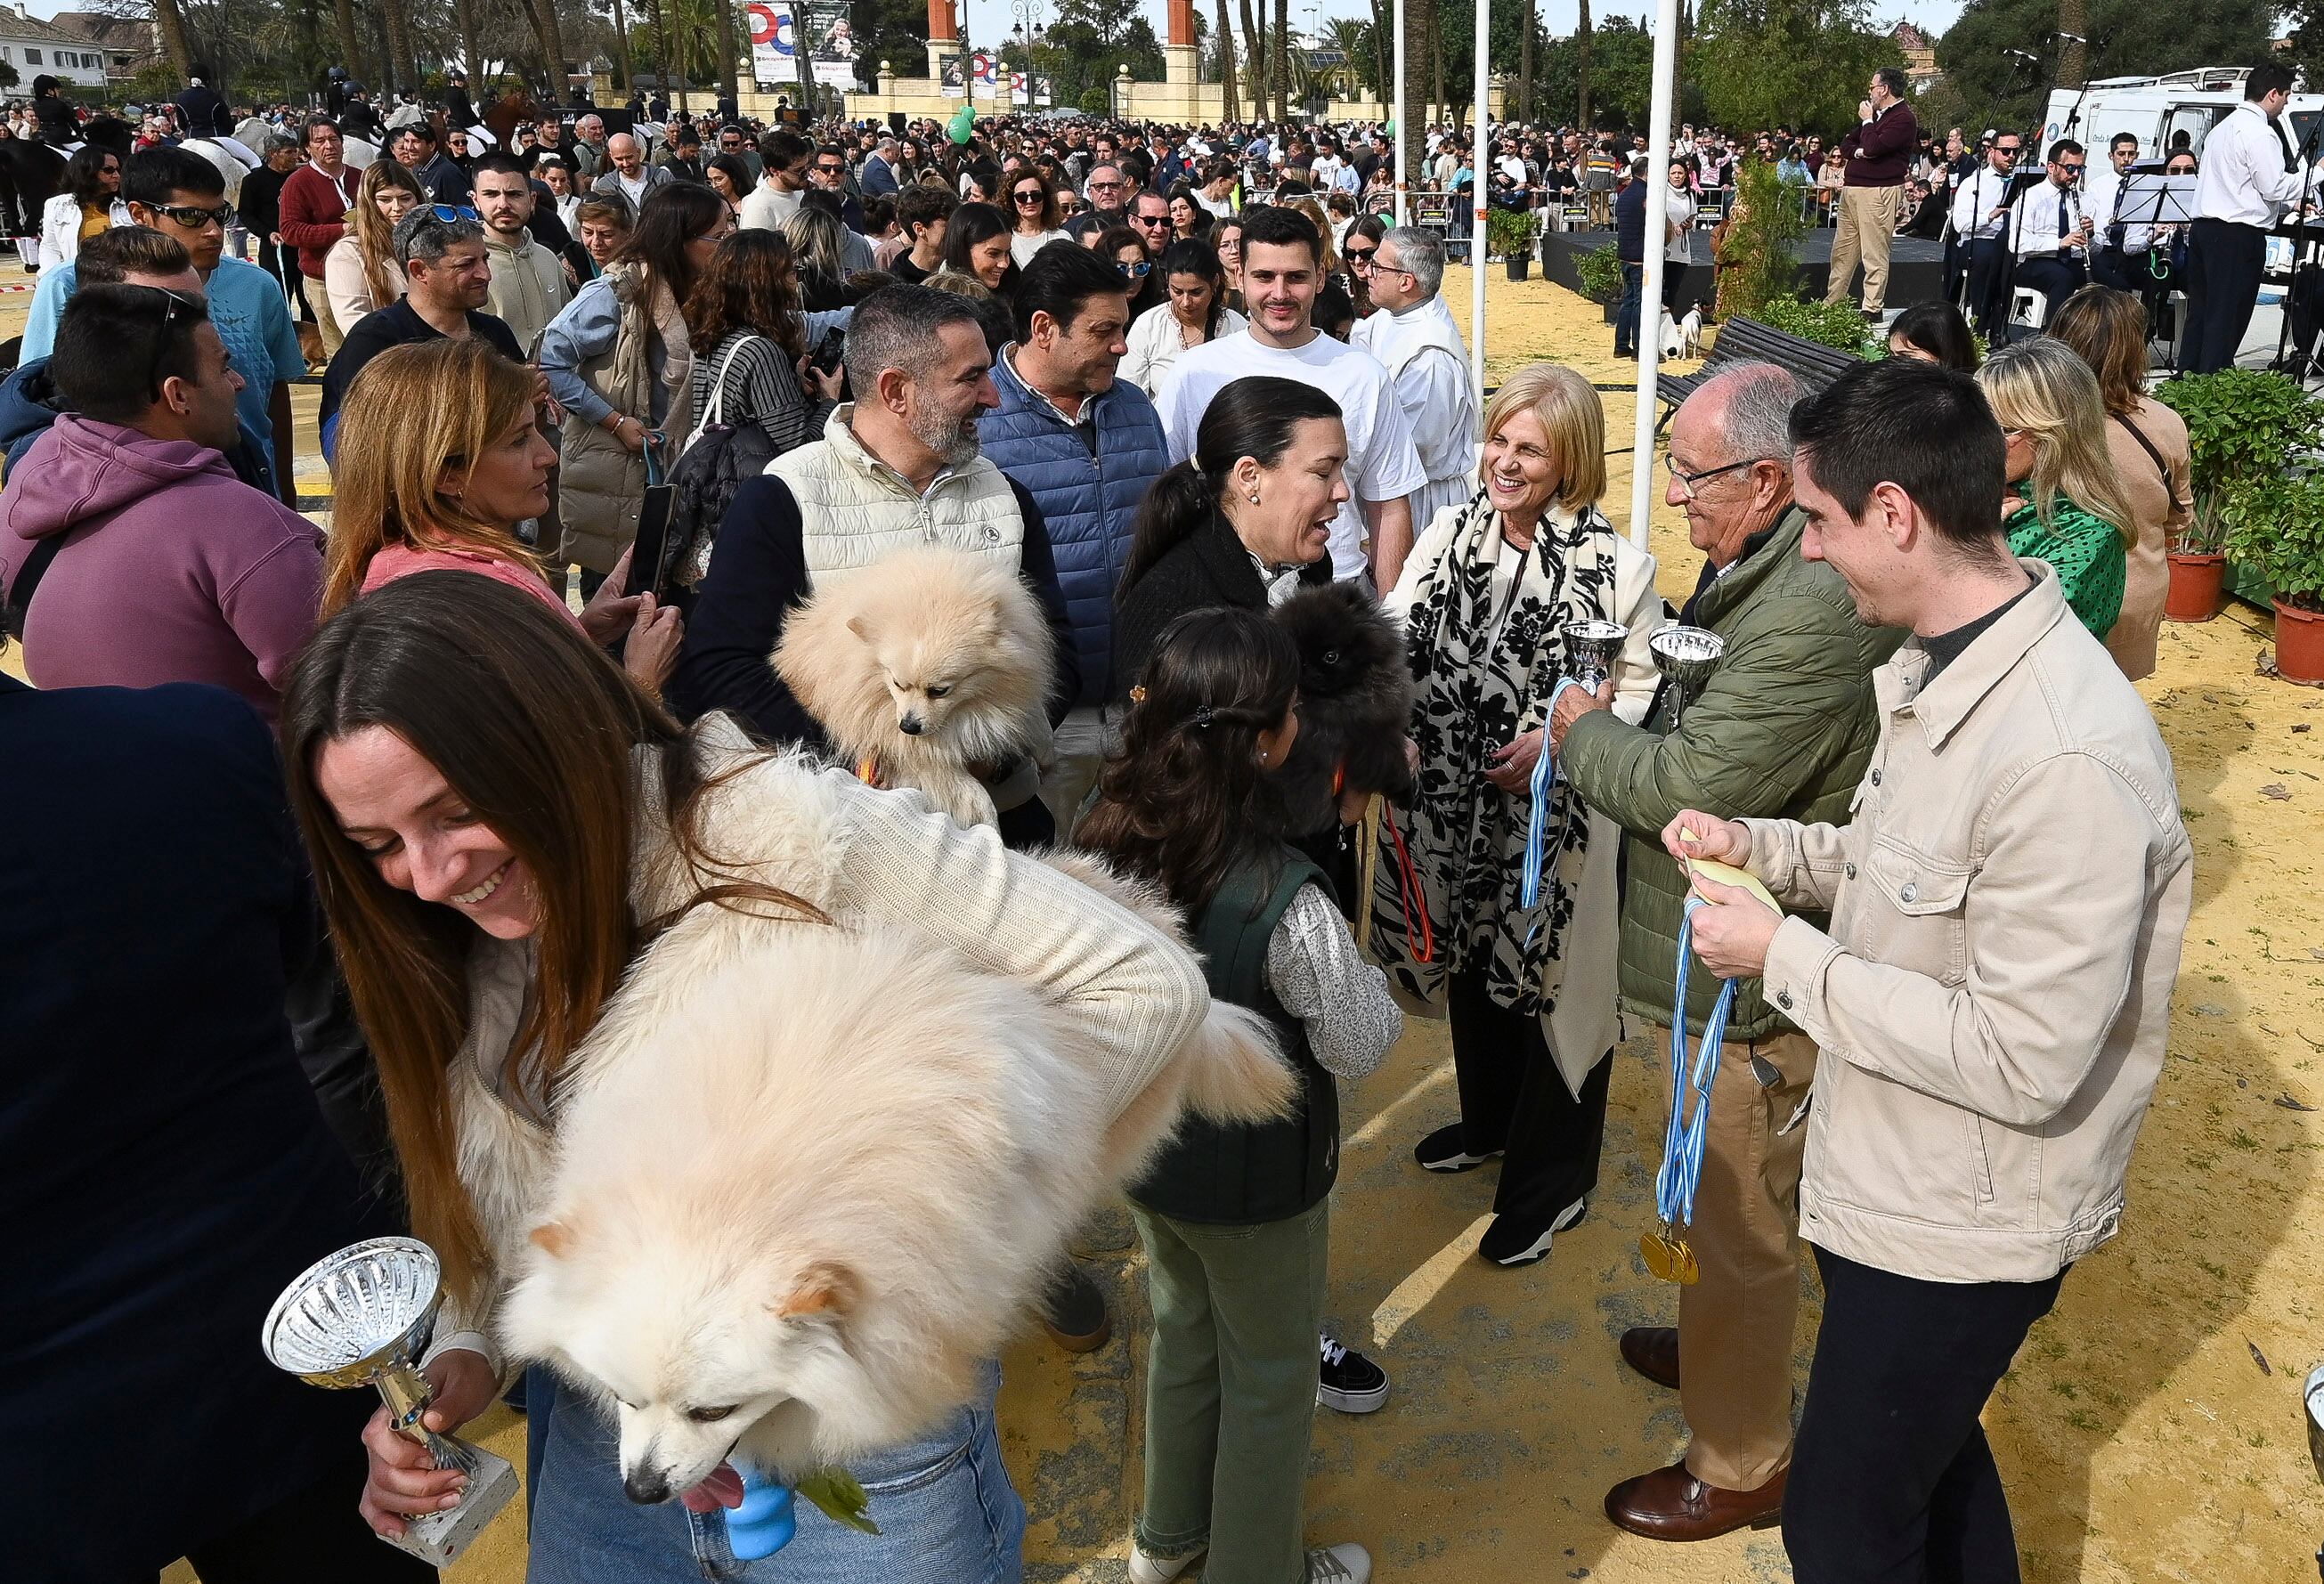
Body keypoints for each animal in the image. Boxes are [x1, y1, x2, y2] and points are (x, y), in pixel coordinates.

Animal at [771, 545, 1054, 826]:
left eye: (940, 691)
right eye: (897, 684)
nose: (909, 726)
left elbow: (1033, 717)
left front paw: (1044, 748)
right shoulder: (886, 735)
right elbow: (946, 777)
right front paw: (984, 817)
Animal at [1273, 575, 1412, 826]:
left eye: (1331, 656)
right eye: (1297, 658)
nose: (1310, 670)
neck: (1338, 703)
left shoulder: (1378, 738)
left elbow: (1394, 767)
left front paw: (1406, 794)